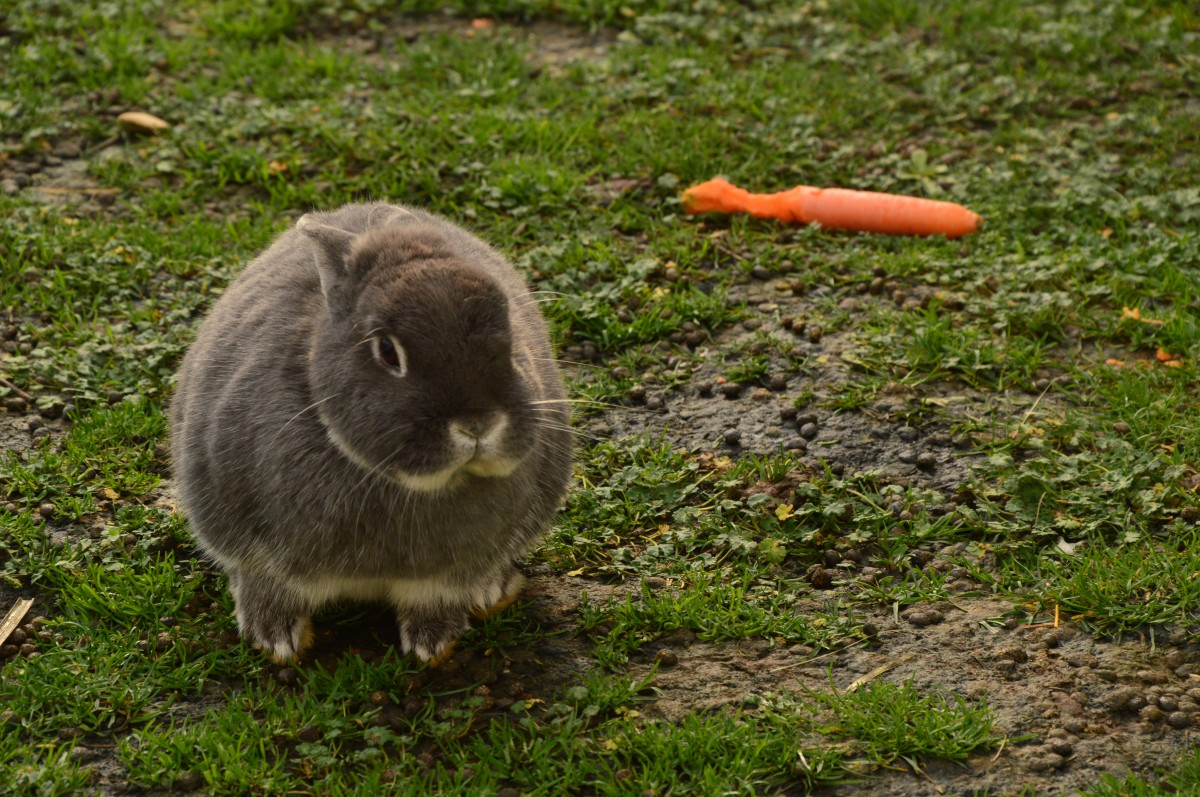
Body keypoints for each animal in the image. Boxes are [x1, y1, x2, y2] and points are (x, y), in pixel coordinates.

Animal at [170, 202, 576, 662]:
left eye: (508, 336)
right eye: (387, 351)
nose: (478, 424)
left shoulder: (448, 573)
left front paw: (432, 643)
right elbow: (270, 585)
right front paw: (276, 639)